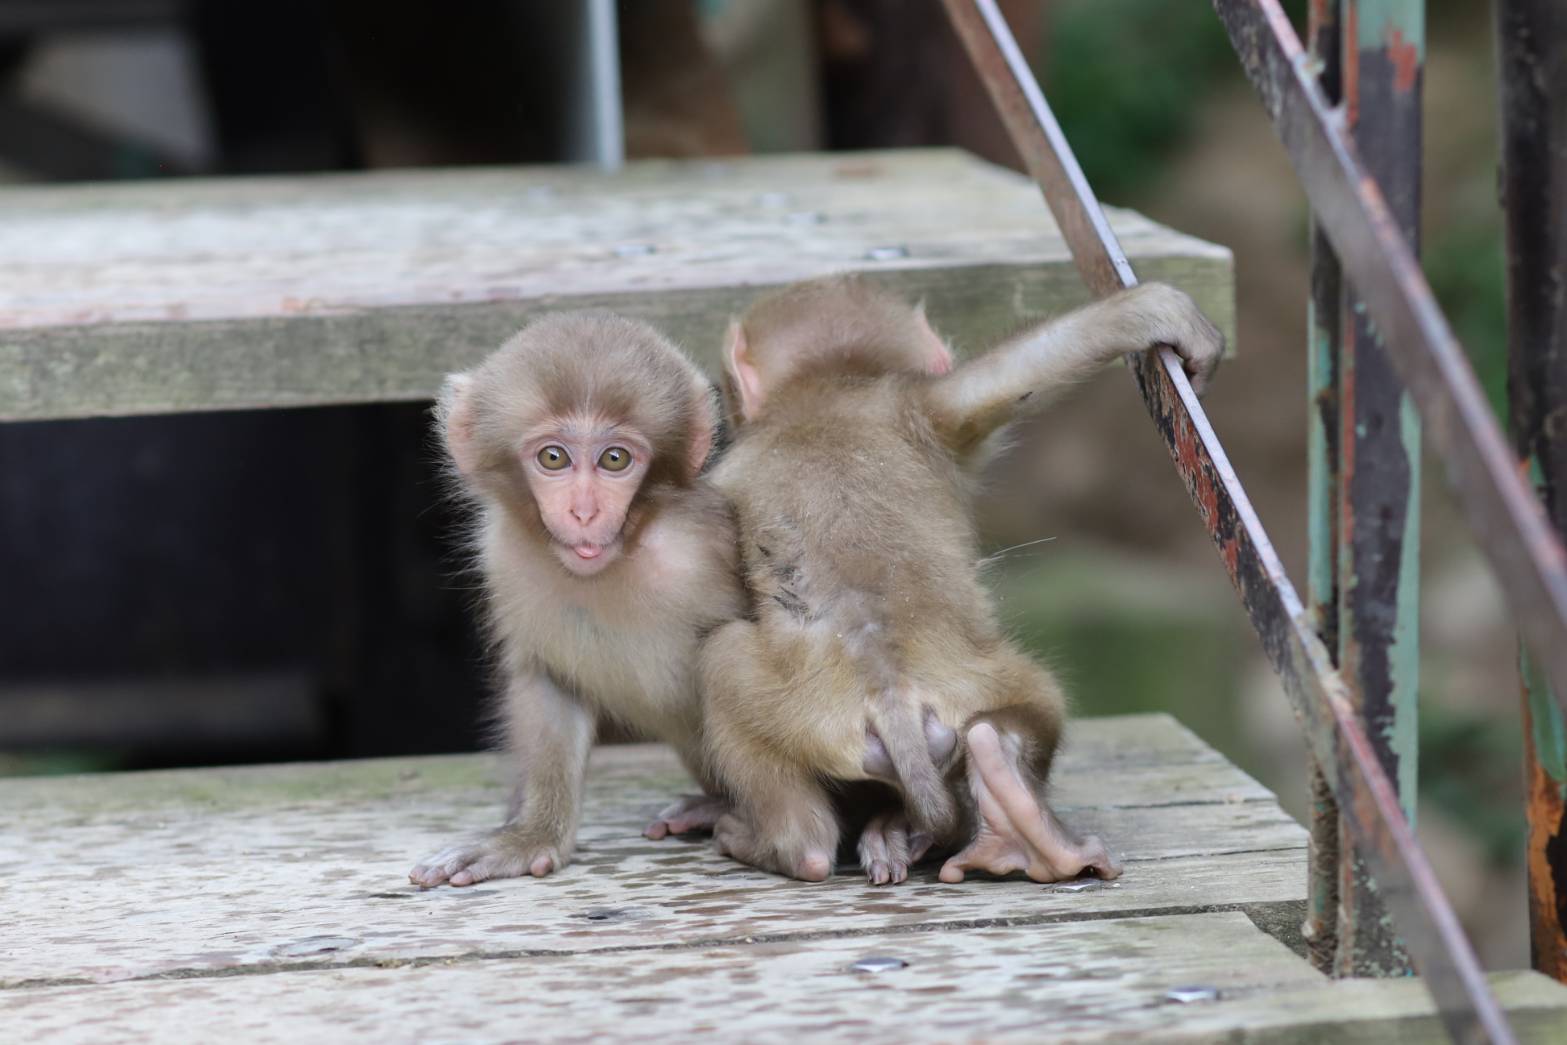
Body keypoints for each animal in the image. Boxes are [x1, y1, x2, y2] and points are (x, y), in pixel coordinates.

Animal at [407, 313, 742, 889]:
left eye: (615, 459)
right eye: (553, 458)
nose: (584, 511)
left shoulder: (703, 546)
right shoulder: (506, 558)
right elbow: (549, 682)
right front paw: (528, 836)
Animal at [702, 275, 1222, 883]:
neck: (822, 388)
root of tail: (892, 695)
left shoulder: (914, 406)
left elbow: (1018, 372)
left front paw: (1155, 312)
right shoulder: (921, 406)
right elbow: (1015, 374)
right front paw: (1154, 312)